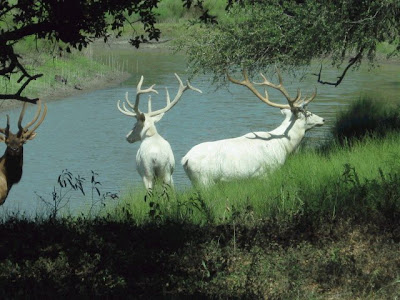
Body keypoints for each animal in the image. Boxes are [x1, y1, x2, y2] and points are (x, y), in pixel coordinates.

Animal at [183, 69, 324, 186]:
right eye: (308, 113)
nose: (323, 120)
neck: (285, 145)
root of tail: (185, 159)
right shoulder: (268, 171)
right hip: (205, 180)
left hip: (196, 182)